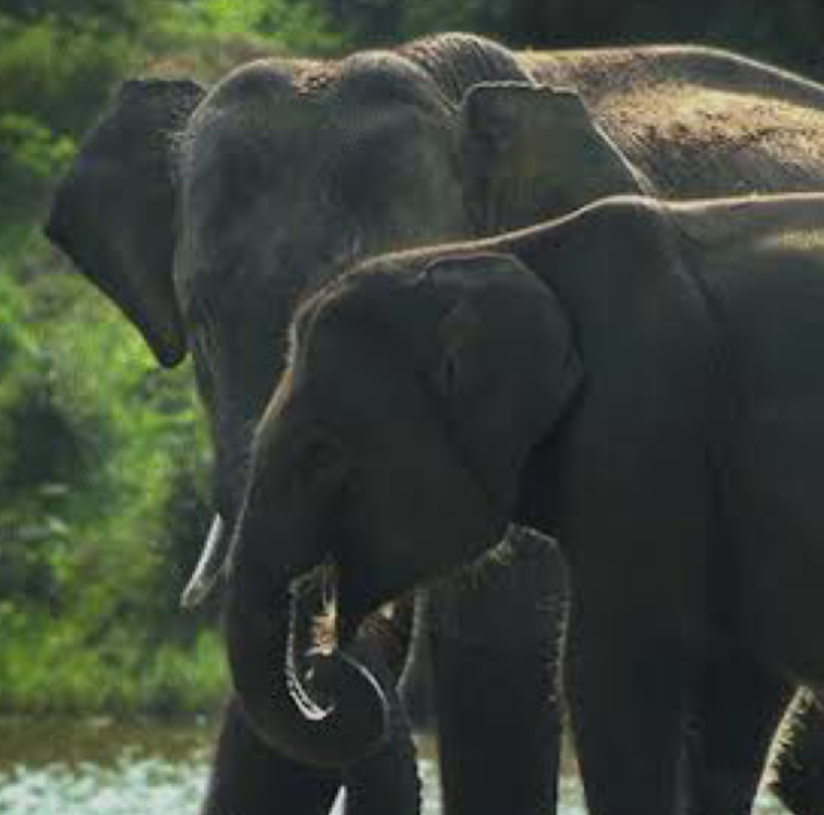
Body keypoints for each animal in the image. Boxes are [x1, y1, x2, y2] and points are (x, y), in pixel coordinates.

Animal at [220, 191, 824, 815]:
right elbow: (736, 692)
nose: (323, 667)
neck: (500, 251)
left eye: (320, 453)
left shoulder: (641, 426)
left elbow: (612, 671)